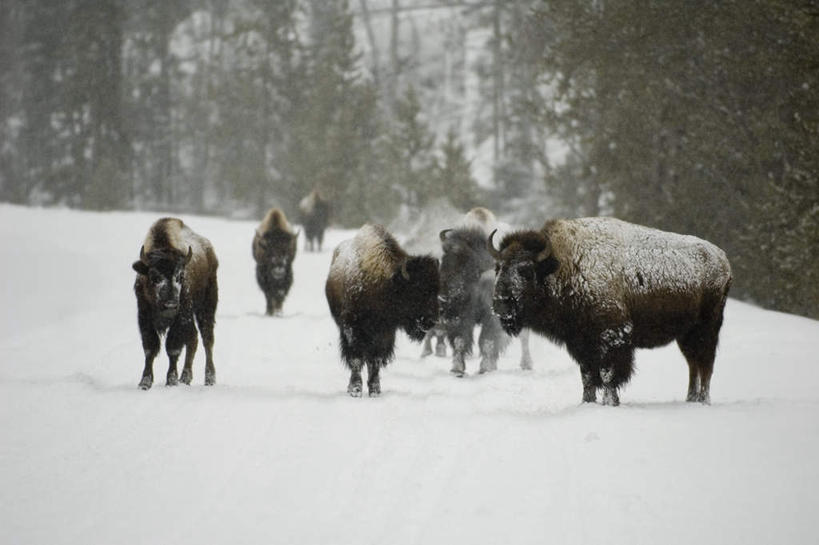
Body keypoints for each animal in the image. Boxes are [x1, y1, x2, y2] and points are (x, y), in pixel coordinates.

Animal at [130, 215, 218, 388]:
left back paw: (209, 379)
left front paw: (171, 380)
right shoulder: (144, 316)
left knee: (207, 339)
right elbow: (149, 348)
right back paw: (185, 378)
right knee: (193, 339)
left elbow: (173, 349)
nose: (170, 305)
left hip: (206, 307)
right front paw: (145, 382)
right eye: (154, 277)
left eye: (180, 277)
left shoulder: (180, 317)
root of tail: (209, 250)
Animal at [326, 223, 442, 398]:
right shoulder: (352, 329)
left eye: (436, 291)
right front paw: (355, 389)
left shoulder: (385, 333)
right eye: (417, 290)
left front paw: (374, 390)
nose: (431, 321)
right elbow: (356, 359)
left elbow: (375, 360)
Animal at [490, 217, 732, 404]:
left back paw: (703, 401)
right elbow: (587, 376)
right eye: (498, 268)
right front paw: (586, 403)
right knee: (694, 364)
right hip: (686, 334)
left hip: (707, 328)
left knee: (705, 364)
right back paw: (690, 399)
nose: (500, 303)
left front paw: (610, 402)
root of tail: (723, 259)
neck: (565, 265)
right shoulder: (582, 343)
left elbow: (607, 375)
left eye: (526, 270)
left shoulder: (612, 338)